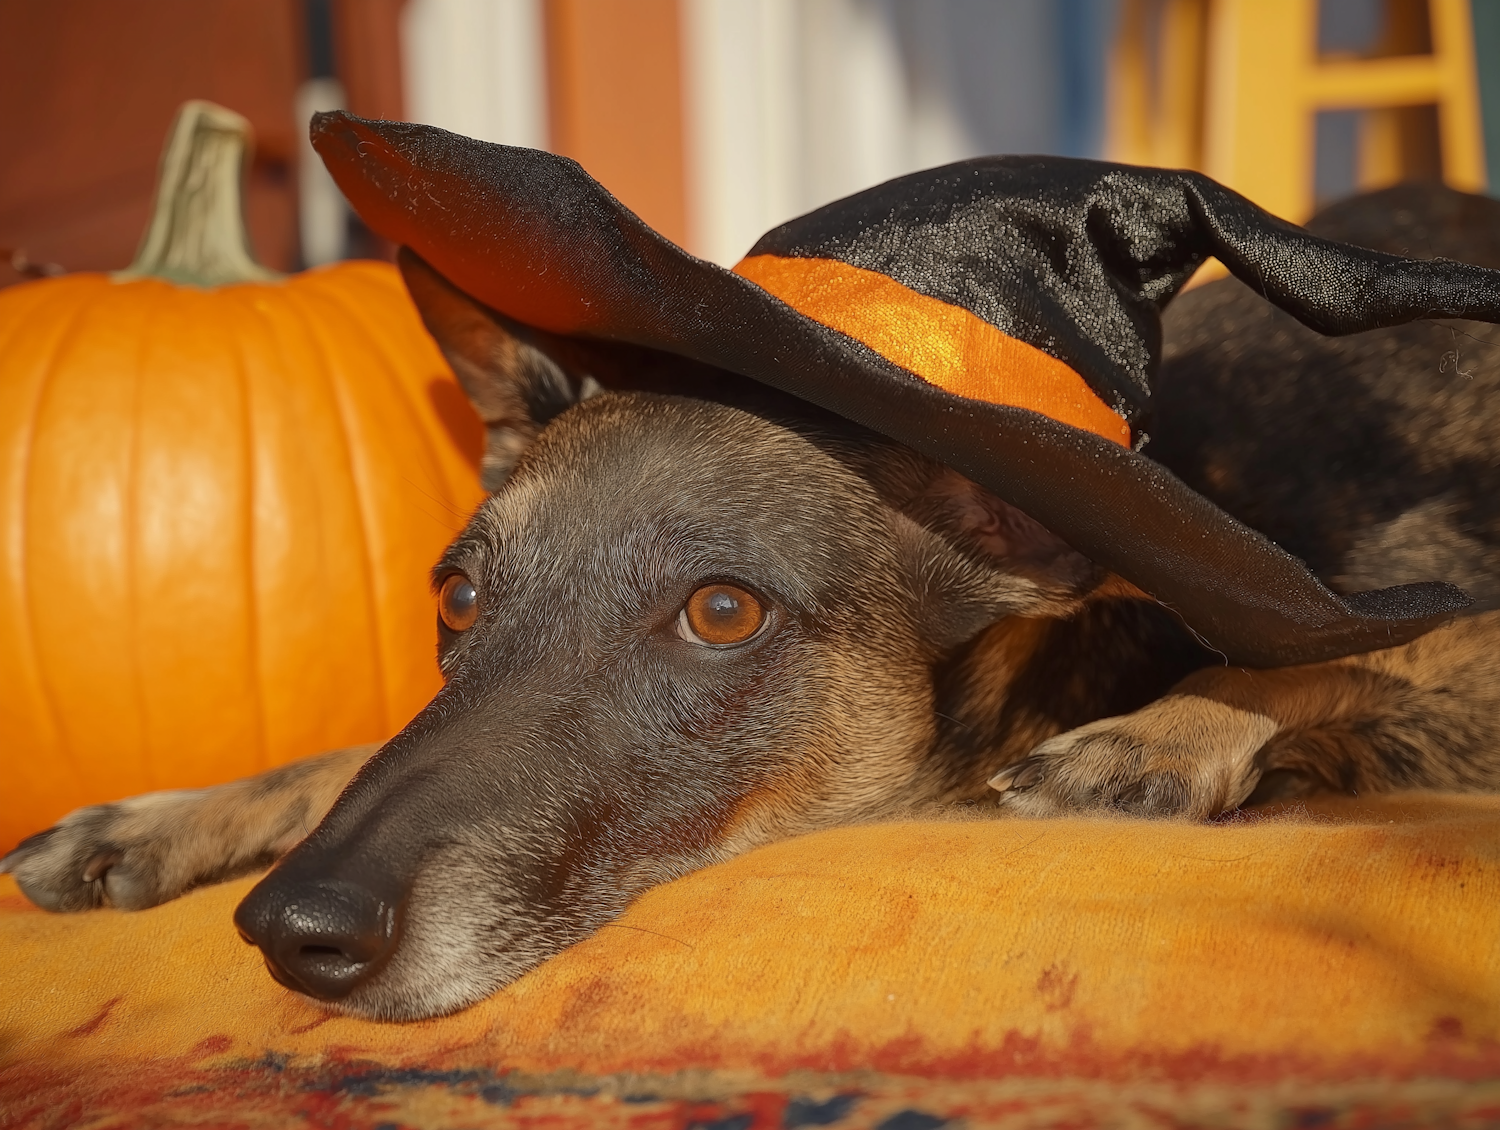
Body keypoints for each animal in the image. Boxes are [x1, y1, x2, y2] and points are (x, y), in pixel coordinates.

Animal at [8, 180, 1500, 1020]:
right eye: (458, 595)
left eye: (721, 613)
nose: (293, 928)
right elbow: (366, 746)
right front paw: (171, 812)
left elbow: (1346, 644)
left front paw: (1167, 730)